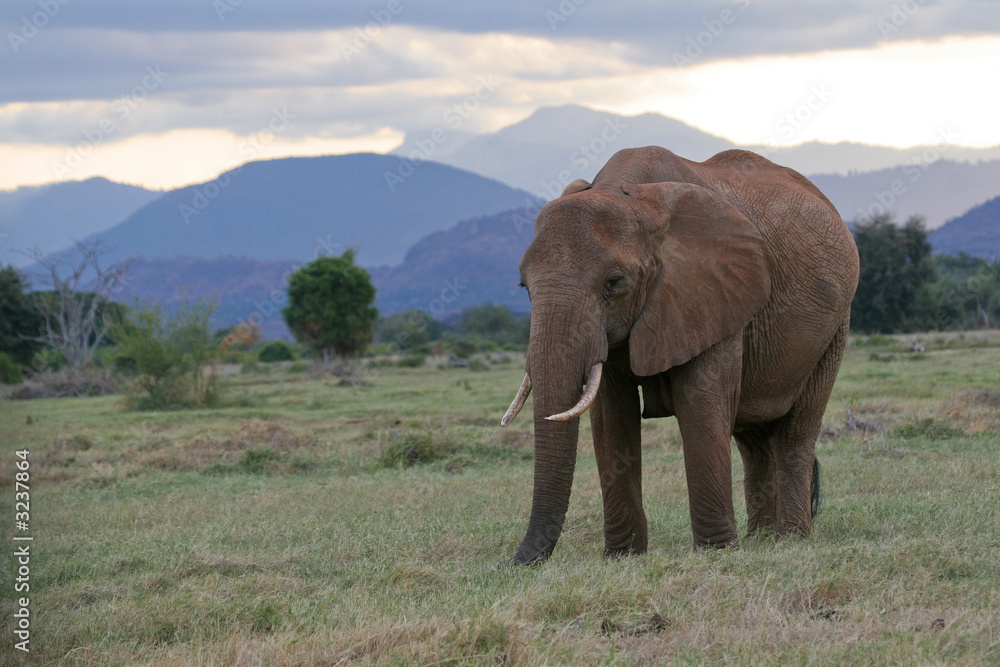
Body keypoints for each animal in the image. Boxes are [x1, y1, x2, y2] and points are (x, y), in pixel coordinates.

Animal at [500, 145, 860, 564]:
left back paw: (790, 540)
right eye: (523, 286)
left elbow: (701, 403)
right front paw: (623, 557)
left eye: (614, 282)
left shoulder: (712, 295)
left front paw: (716, 554)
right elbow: (610, 417)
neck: (630, 195)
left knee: (795, 432)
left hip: (835, 328)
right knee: (753, 441)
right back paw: (760, 539)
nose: (512, 563)